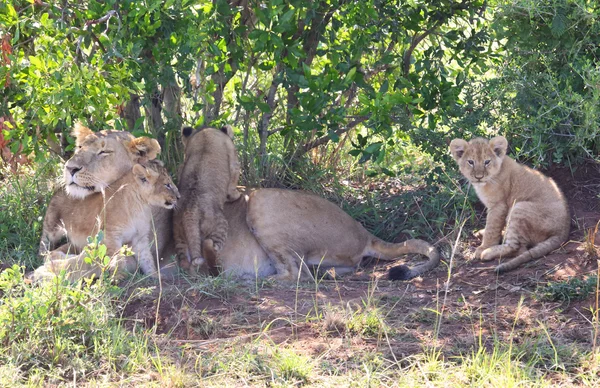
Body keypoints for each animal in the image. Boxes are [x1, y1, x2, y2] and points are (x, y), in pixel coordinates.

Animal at [33, 159, 178, 280]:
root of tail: (61, 188)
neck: (141, 205)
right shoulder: (111, 236)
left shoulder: (140, 238)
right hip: (52, 227)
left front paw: (154, 275)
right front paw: (117, 277)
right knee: (44, 244)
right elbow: (117, 259)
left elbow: (147, 258)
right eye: (167, 185)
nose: (179, 196)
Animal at [172, 124, 240, 272]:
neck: (205, 133)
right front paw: (236, 195)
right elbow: (232, 183)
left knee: (184, 260)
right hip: (219, 224)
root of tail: (189, 212)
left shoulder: (182, 164)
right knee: (209, 245)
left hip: (178, 234)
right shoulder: (233, 162)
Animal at [450, 136, 572, 272]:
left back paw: (488, 252)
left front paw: (483, 247)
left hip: (519, 207)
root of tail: (563, 231)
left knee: (518, 248)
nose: (479, 177)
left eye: (487, 162)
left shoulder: (498, 205)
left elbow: (492, 228)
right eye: (471, 162)